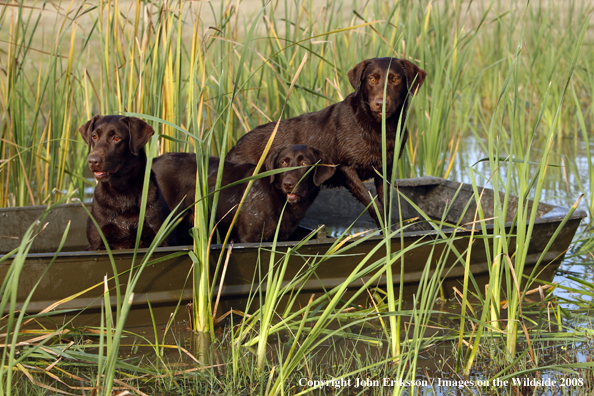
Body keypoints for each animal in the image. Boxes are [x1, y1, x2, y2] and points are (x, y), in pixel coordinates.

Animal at [78, 115, 171, 251]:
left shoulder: (159, 240)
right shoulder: (98, 243)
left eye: (116, 138)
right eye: (94, 136)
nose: (93, 161)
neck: (122, 192)